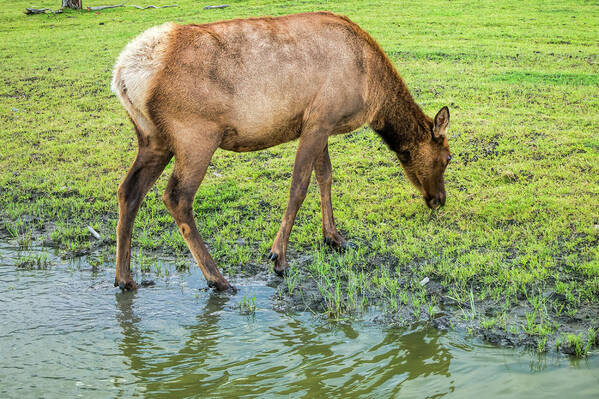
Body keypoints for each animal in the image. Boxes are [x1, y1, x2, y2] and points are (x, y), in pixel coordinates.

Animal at [110, 10, 452, 292]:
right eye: (448, 158)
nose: (439, 199)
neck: (372, 93)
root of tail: (124, 73)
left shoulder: (321, 124)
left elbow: (325, 177)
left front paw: (334, 238)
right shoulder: (319, 119)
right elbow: (298, 187)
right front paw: (279, 257)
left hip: (153, 138)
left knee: (128, 190)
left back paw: (124, 278)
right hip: (196, 135)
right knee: (176, 197)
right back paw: (218, 279)